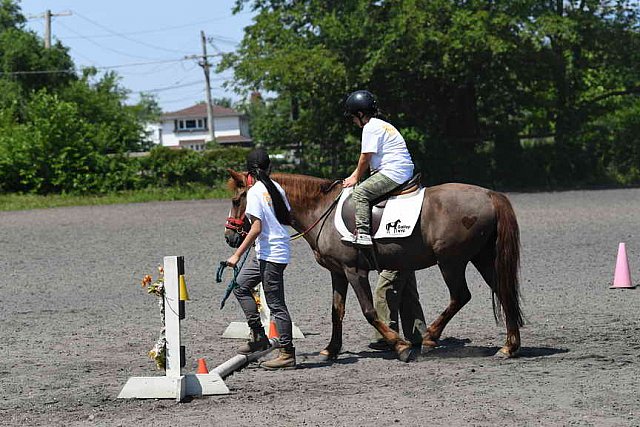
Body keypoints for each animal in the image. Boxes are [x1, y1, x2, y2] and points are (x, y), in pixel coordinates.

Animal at [228, 171, 524, 362]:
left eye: (236, 200)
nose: (230, 237)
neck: (321, 209)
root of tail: (489, 195)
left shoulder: (354, 271)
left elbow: (369, 311)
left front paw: (400, 346)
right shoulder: (338, 272)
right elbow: (337, 312)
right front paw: (330, 350)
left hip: (451, 261)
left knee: (460, 296)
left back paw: (430, 337)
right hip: (483, 258)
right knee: (504, 293)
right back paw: (509, 347)